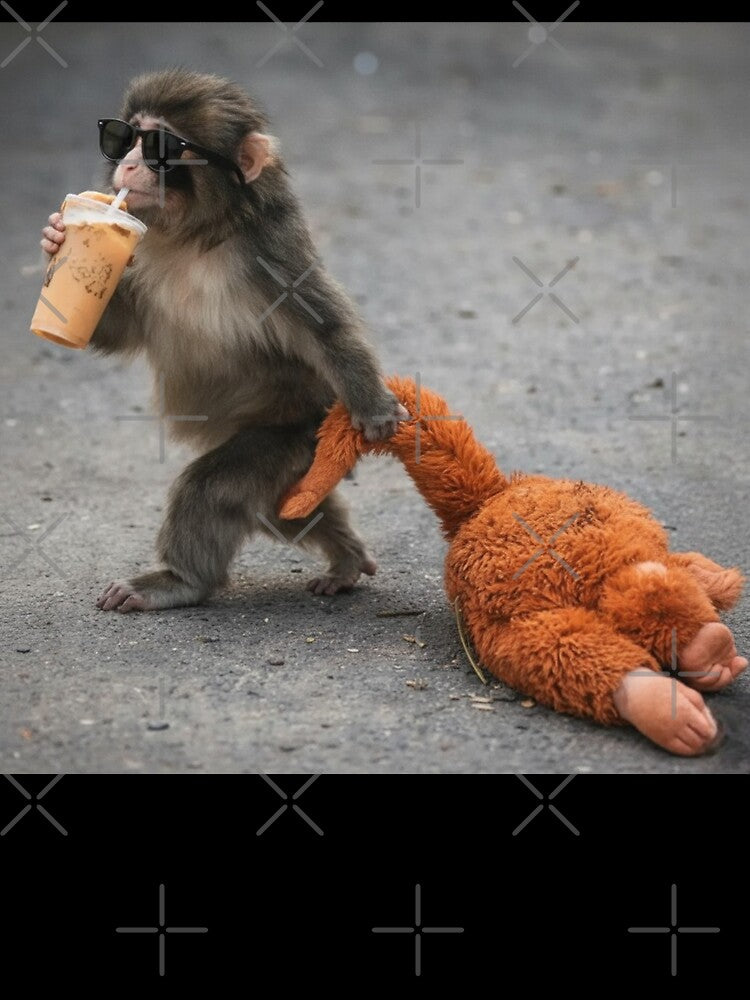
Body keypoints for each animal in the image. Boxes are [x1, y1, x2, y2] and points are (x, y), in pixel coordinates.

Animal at [41, 69, 406, 612]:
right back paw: (347, 557)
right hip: (301, 454)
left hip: (297, 433)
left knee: (216, 489)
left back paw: (179, 581)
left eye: (161, 147)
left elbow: (324, 327)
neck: (192, 236)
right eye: (124, 137)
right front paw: (55, 238)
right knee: (281, 507)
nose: (128, 164)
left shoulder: (268, 255)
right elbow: (123, 327)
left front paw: (375, 407)